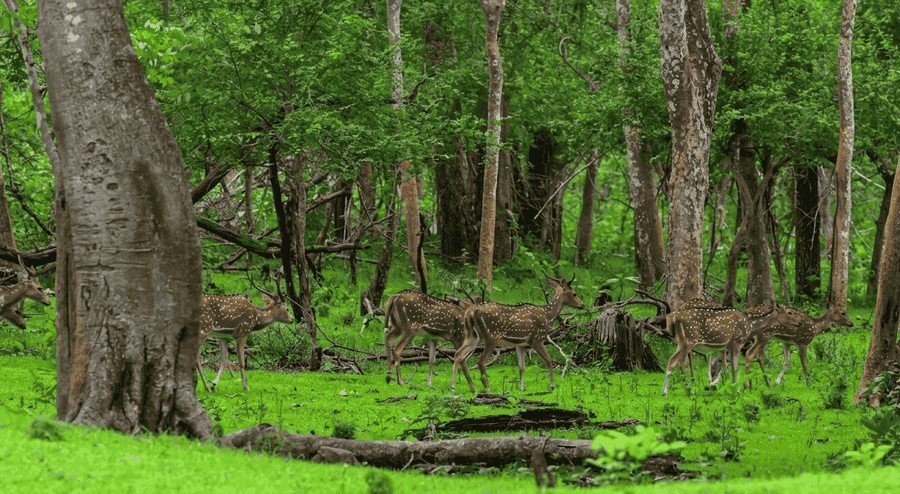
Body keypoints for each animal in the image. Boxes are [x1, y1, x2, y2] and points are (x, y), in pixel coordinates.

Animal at [661, 302, 801, 396]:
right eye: (789, 312)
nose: (799, 323)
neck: (750, 326)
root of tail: (671, 318)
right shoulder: (737, 342)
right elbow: (734, 368)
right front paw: (737, 389)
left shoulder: (727, 345)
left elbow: (726, 366)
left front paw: (723, 385)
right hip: (688, 339)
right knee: (677, 362)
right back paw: (685, 390)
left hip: (680, 341)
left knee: (674, 361)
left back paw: (668, 391)